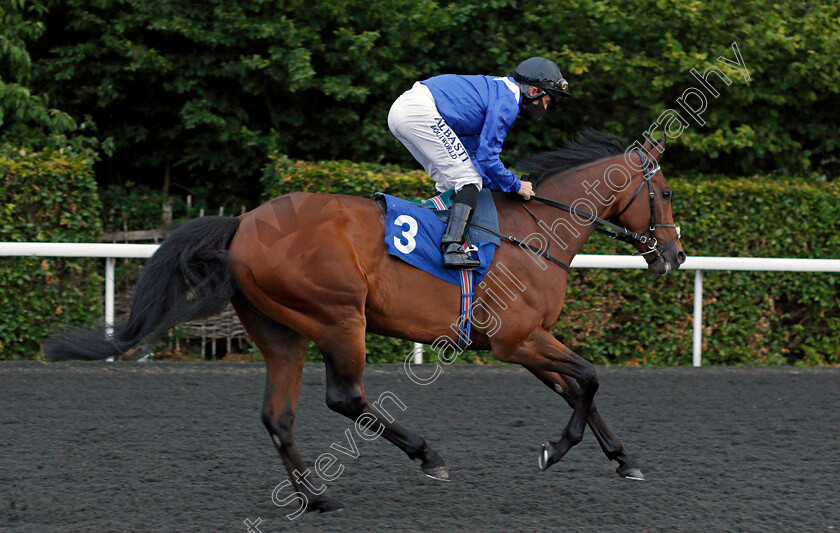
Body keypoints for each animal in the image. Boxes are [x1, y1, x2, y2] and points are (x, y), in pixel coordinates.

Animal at [46, 128, 684, 512]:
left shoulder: (527, 341)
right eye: (667, 192)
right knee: (344, 397)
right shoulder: (517, 339)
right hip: (338, 317)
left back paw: (314, 498)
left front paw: (624, 460)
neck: (532, 234)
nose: (675, 256)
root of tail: (243, 224)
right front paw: (557, 448)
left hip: (280, 331)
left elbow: (579, 387)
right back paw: (426, 455)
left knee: (278, 416)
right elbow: (589, 379)